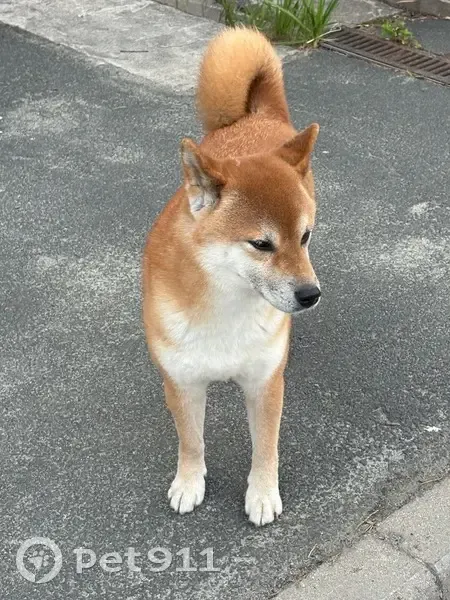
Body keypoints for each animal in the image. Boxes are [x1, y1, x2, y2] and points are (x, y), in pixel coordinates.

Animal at [142, 27, 321, 526]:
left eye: (304, 236)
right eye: (261, 244)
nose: (311, 294)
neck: (226, 308)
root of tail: (256, 118)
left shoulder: (264, 382)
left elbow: (266, 447)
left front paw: (262, 493)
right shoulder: (181, 382)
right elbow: (191, 441)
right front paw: (189, 482)